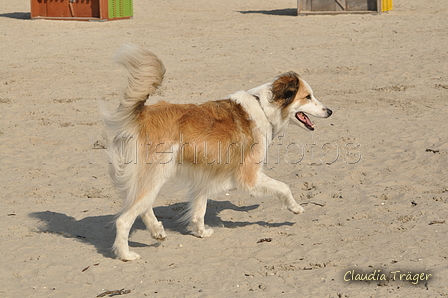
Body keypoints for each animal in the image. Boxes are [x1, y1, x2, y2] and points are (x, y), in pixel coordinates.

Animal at [102, 44, 332, 260]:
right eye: (308, 97)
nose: (330, 111)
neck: (264, 109)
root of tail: (142, 114)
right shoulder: (249, 176)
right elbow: (284, 187)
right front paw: (295, 208)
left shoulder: (205, 174)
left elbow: (199, 208)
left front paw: (200, 232)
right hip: (156, 173)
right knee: (125, 218)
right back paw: (126, 254)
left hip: (152, 176)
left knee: (142, 205)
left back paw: (157, 230)